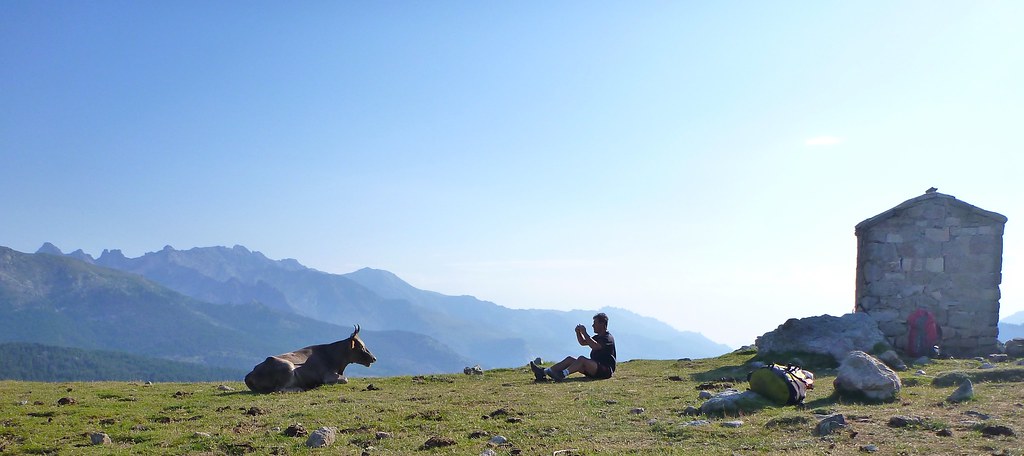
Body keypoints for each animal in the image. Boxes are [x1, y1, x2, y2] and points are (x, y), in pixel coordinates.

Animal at [244, 325, 377, 393]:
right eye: (361, 347)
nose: (374, 358)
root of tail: (249, 374)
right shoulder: (328, 376)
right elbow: (345, 379)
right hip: (288, 366)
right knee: (279, 389)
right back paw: (301, 388)